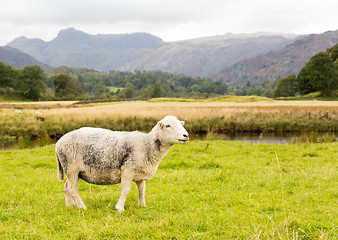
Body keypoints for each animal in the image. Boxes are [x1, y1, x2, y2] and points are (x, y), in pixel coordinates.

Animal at [54, 116, 187, 212]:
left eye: (181, 124)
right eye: (168, 126)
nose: (186, 135)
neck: (147, 145)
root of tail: (58, 143)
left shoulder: (140, 174)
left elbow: (142, 190)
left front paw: (142, 206)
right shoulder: (128, 170)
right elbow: (125, 190)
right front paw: (120, 208)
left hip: (73, 171)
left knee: (66, 187)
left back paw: (70, 206)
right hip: (71, 167)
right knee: (72, 189)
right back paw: (82, 207)